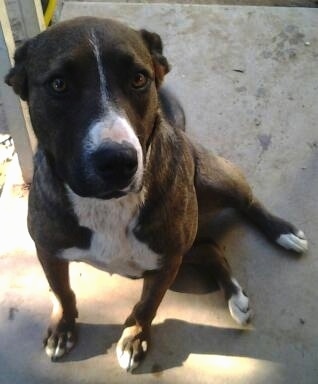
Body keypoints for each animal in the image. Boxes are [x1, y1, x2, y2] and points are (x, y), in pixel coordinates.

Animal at [5, 16, 308, 370]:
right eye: (58, 84)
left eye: (139, 78)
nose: (118, 161)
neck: (106, 207)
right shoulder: (48, 250)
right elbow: (61, 292)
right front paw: (62, 328)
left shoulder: (165, 264)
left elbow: (147, 306)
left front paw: (135, 337)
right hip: (188, 248)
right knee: (211, 249)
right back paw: (235, 296)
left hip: (213, 180)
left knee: (248, 202)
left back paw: (283, 233)